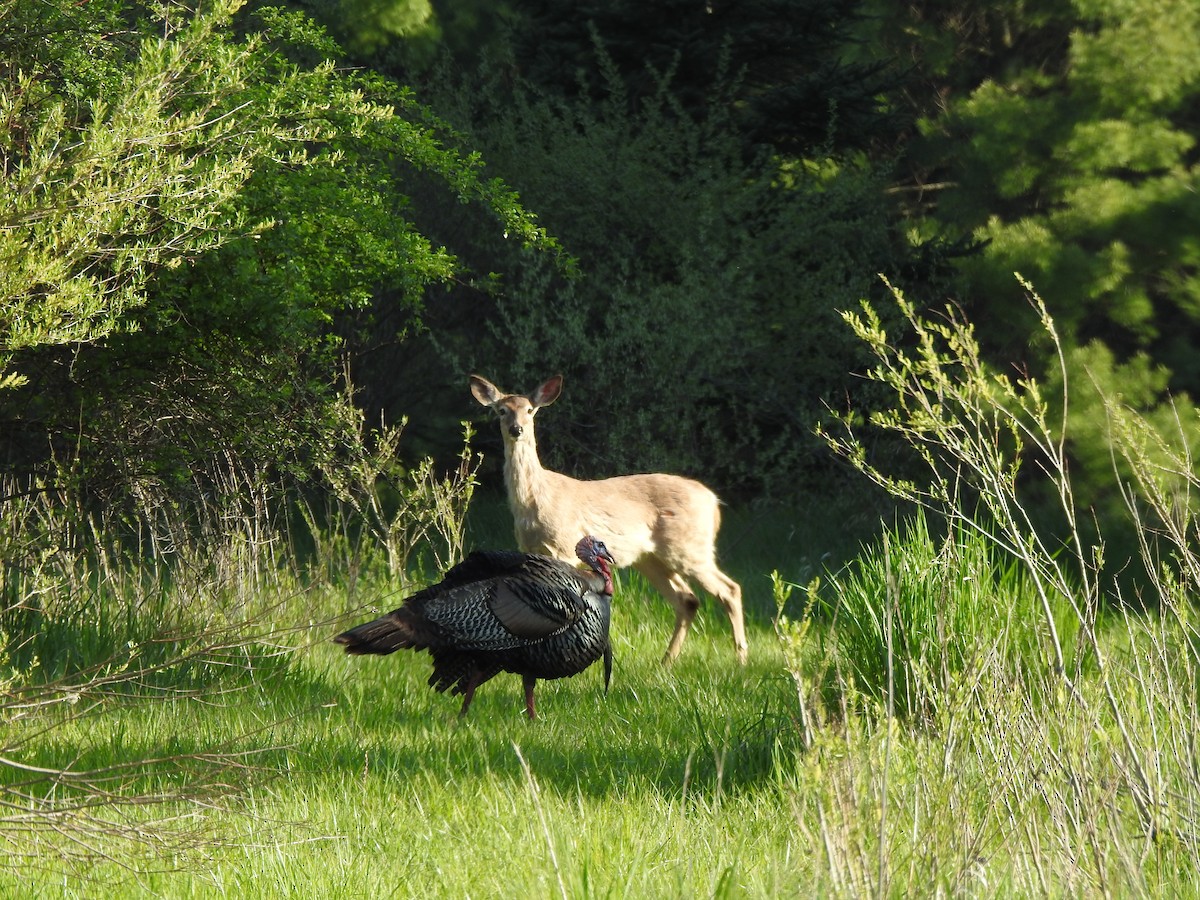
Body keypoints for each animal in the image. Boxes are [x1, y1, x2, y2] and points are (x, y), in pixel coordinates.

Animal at [470, 372, 744, 662]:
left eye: (530, 410)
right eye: (502, 411)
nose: (516, 429)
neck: (535, 500)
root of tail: (713, 502)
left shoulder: (564, 546)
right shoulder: (529, 549)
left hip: (689, 547)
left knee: (729, 590)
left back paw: (740, 660)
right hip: (650, 558)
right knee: (688, 599)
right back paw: (667, 661)